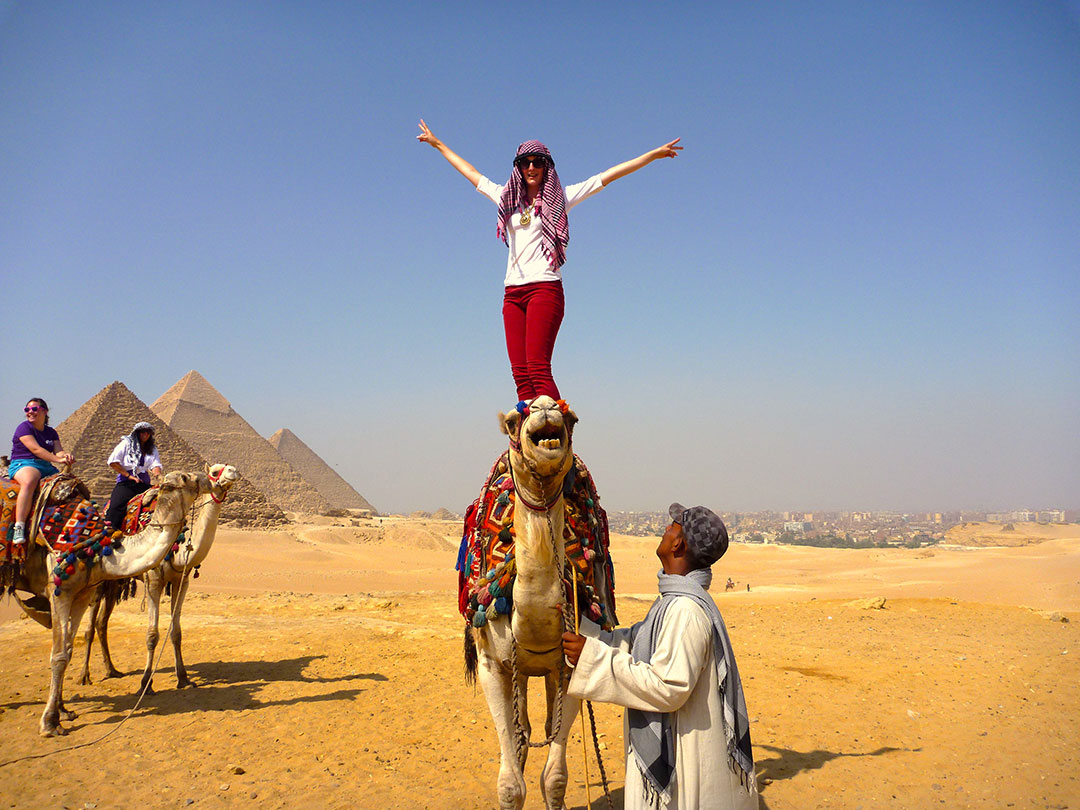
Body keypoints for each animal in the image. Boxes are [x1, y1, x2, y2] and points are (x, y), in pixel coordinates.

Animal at [78, 466, 240, 695]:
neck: (178, 551)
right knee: (90, 628)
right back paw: (85, 676)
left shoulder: (182, 582)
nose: (233, 472)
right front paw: (146, 682)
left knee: (102, 623)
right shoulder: (153, 581)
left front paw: (183, 678)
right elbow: (152, 635)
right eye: (216, 471)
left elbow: (176, 632)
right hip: (98, 583)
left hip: (115, 582)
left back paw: (112, 670)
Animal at [464, 397, 583, 810]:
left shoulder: (569, 666)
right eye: (516, 419)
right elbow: (510, 784)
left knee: (538, 729)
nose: (546, 407)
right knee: (522, 733)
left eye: (571, 417)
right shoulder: (491, 664)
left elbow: (556, 777)